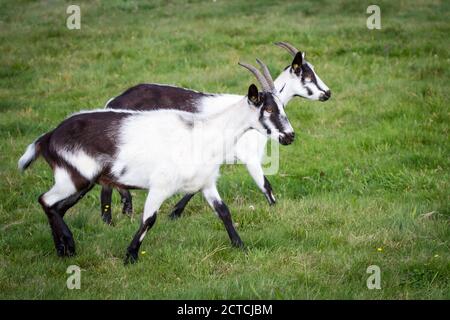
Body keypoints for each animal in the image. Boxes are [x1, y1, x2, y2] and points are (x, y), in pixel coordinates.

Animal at [17, 60, 294, 262]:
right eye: (268, 109)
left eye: (282, 107)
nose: (289, 136)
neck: (204, 131)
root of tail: (49, 137)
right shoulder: (160, 186)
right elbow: (149, 219)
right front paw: (130, 256)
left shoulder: (206, 183)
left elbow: (223, 212)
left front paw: (241, 246)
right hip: (74, 178)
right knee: (46, 201)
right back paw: (68, 247)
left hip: (79, 181)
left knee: (57, 207)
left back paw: (64, 249)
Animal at [101, 41, 330, 224]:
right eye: (306, 76)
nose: (327, 93)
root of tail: (112, 102)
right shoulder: (250, 158)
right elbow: (266, 187)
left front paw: (175, 213)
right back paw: (109, 220)